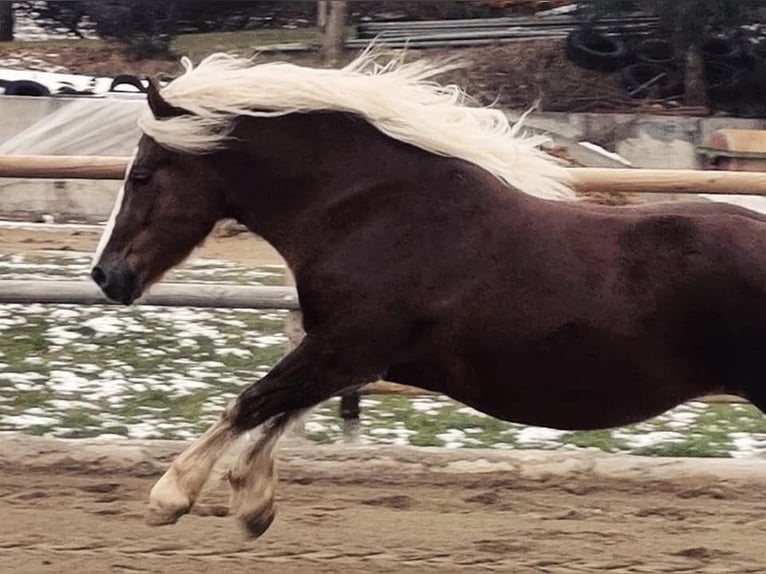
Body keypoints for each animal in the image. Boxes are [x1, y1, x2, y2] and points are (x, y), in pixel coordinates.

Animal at [91, 51, 766, 538]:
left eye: (142, 175)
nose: (106, 275)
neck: (376, 213)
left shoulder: (346, 346)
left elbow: (254, 400)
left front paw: (170, 496)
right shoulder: (351, 357)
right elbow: (282, 409)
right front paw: (253, 504)